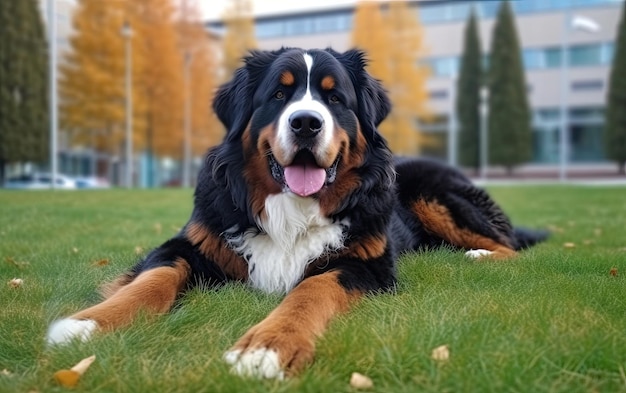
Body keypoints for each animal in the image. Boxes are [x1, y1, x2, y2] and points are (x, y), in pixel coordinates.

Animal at [47, 47, 544, 378]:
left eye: (334, 98)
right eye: (279, 95)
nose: (306, 122)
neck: (292, 209)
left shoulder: (365, 263)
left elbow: (312, 288)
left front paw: (267, 346)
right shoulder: (189, 244)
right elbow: (153, 279)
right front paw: (87, 324)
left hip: (436, 195)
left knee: (510, 246)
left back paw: (478, 256)